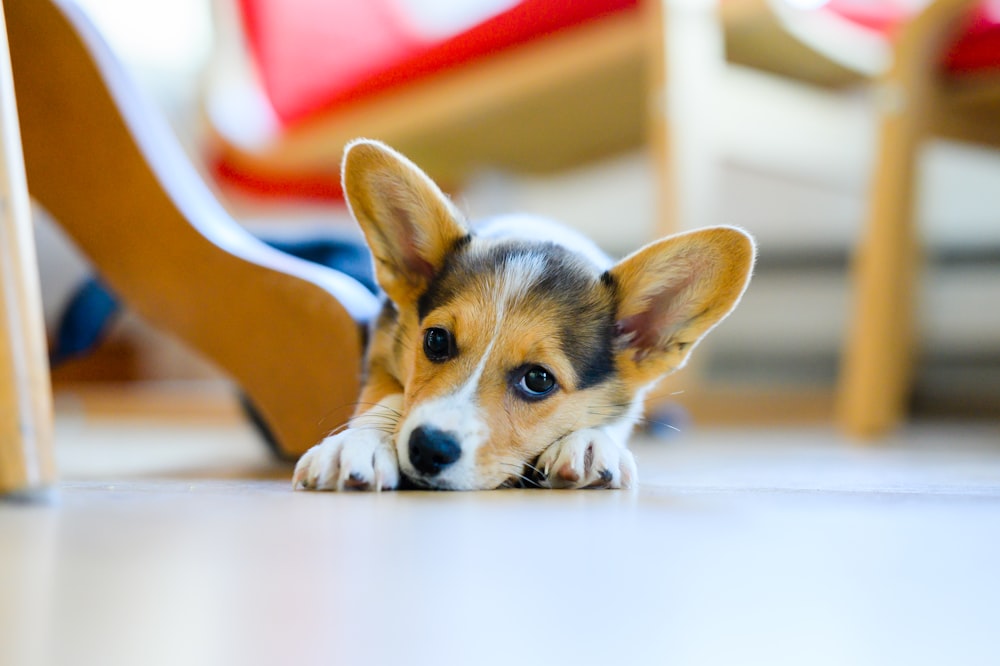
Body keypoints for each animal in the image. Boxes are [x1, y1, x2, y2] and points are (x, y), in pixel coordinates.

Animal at [290, 140, 752, 490]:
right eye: (436, 340)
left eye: (538, 380)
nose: (429, 448)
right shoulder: (383, 351)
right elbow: (386, 397)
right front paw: (357, 444)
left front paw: (588, 443)